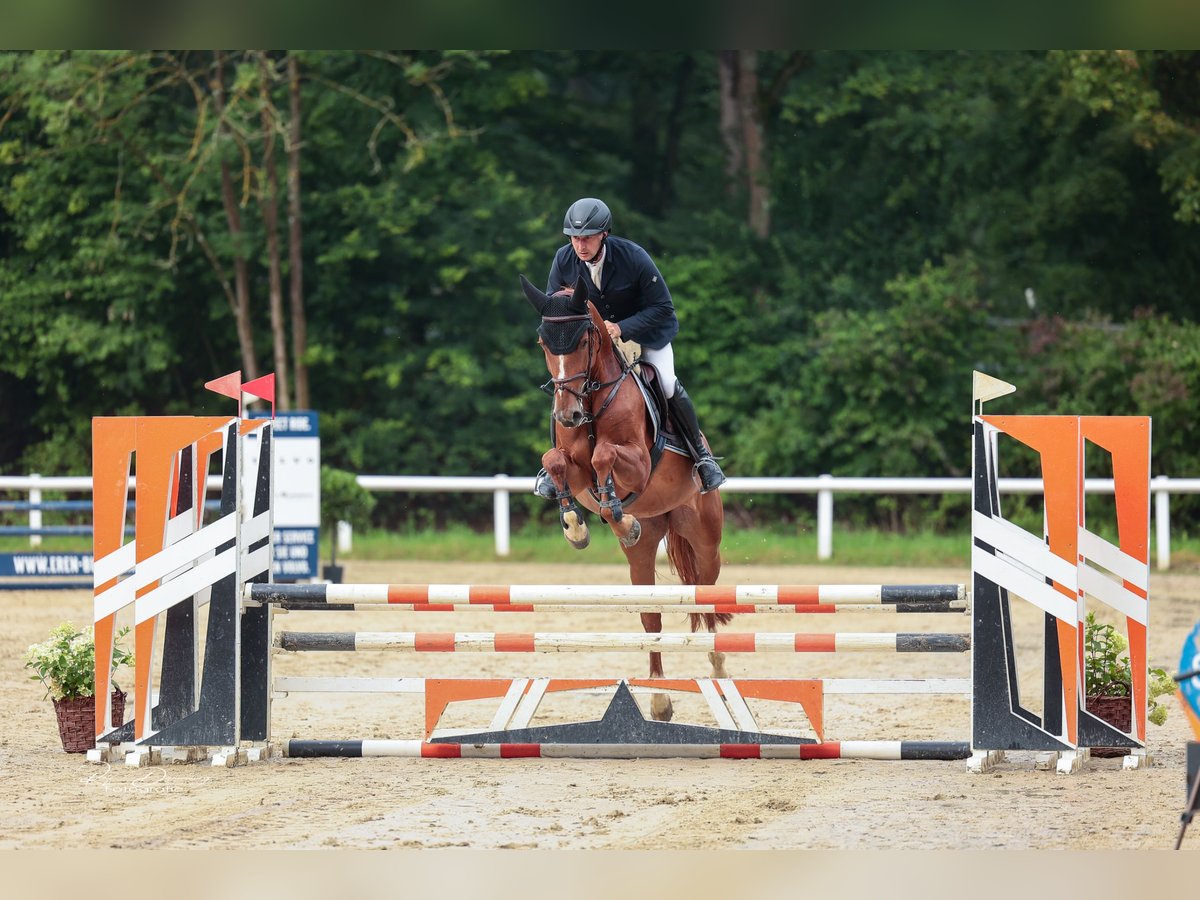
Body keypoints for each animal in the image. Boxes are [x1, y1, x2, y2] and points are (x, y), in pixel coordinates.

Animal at [520, 274, 724, 724]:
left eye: (584, 339)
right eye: (544, 341)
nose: (567, 416)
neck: (593, 398)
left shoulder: (638, 464)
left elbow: (604, 456)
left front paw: (615, 514)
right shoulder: (574, 467)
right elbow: (556, 461)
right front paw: (576, 527)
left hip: (705, 538)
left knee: (706, 595)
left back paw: (719, 666)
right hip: (645, 551)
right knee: (651, 618)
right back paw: (660, 700)